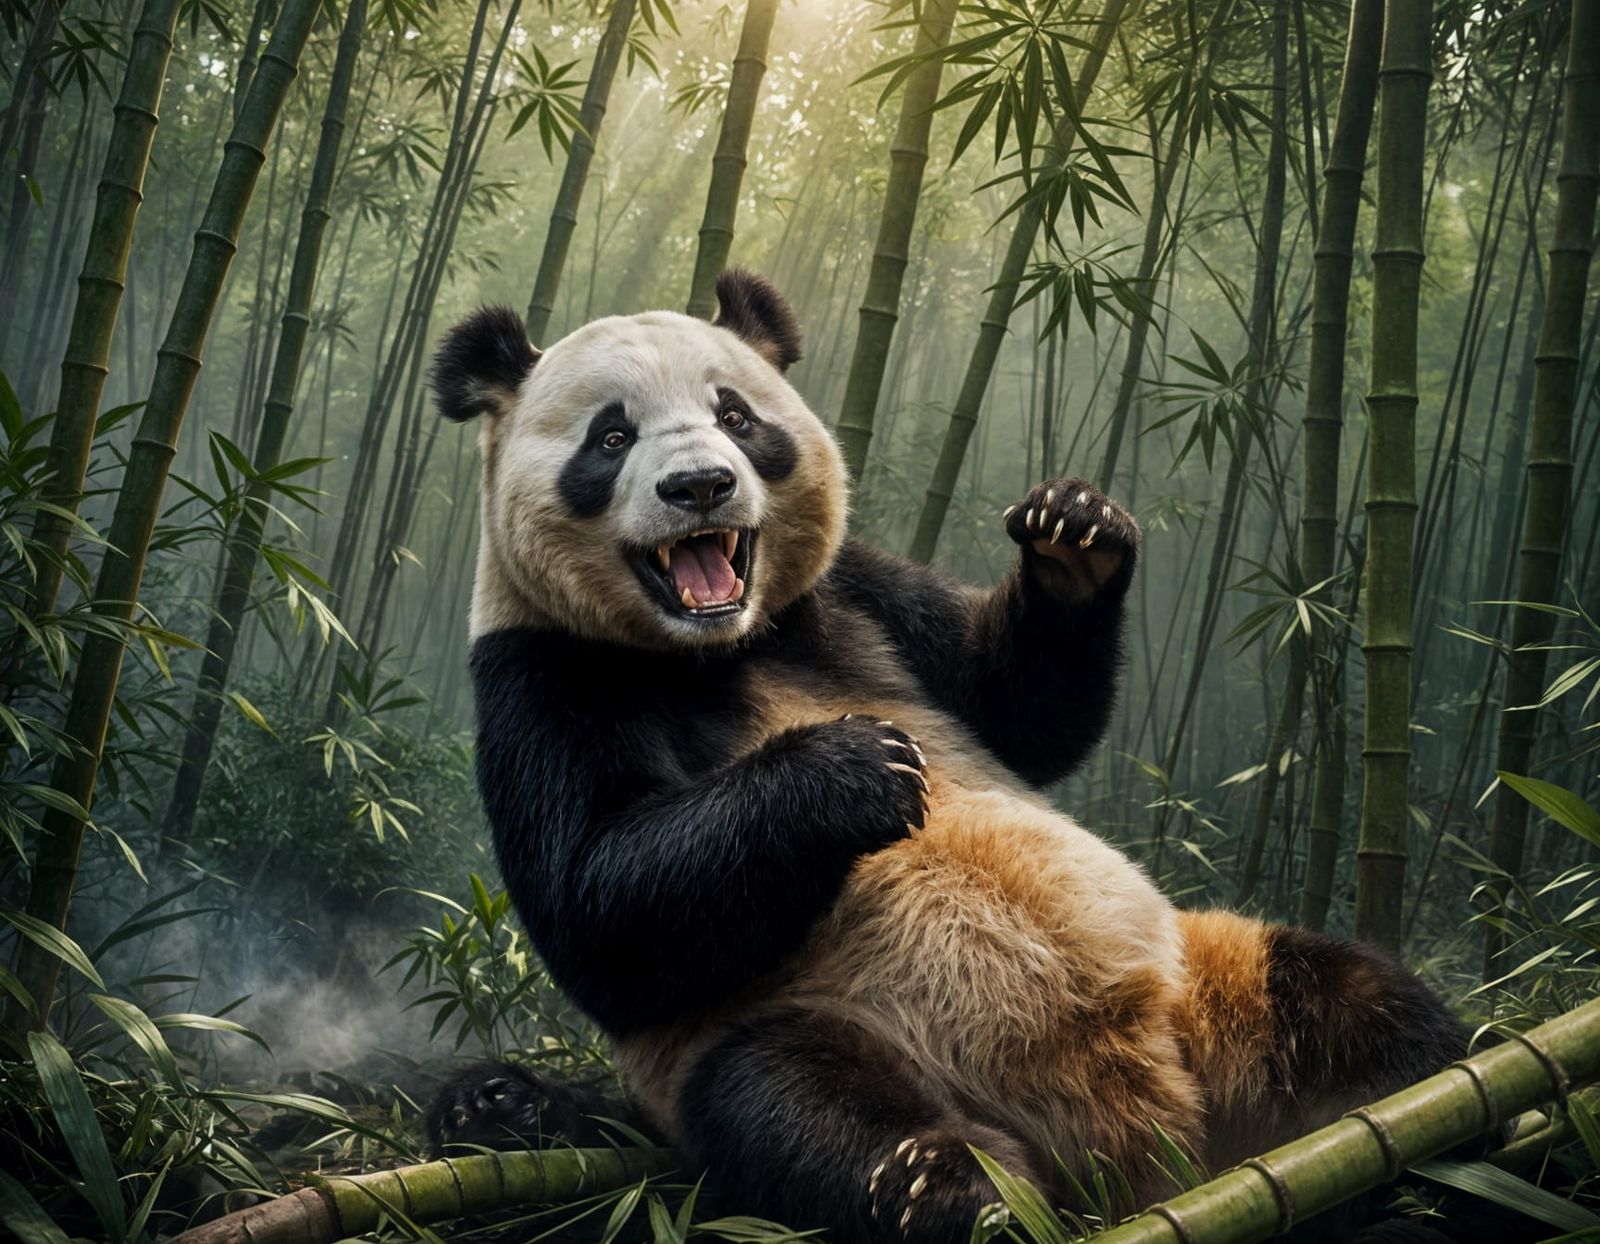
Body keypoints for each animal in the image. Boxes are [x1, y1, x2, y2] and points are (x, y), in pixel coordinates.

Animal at [423, 270, 1469, 1243]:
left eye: (736, 417)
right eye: (610, 439)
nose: (699, 488)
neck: (724, 646)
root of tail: (1149, 1156)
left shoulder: (855, 593)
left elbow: (1015, 709)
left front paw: (1074, 532)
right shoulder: (539, 674)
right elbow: (600, 911)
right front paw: (851, 772)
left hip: (1211, 981)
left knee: (1365, 1009)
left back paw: (1421, 1158)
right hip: (817, 1028)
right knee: (809, 1107)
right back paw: (966, 1191)